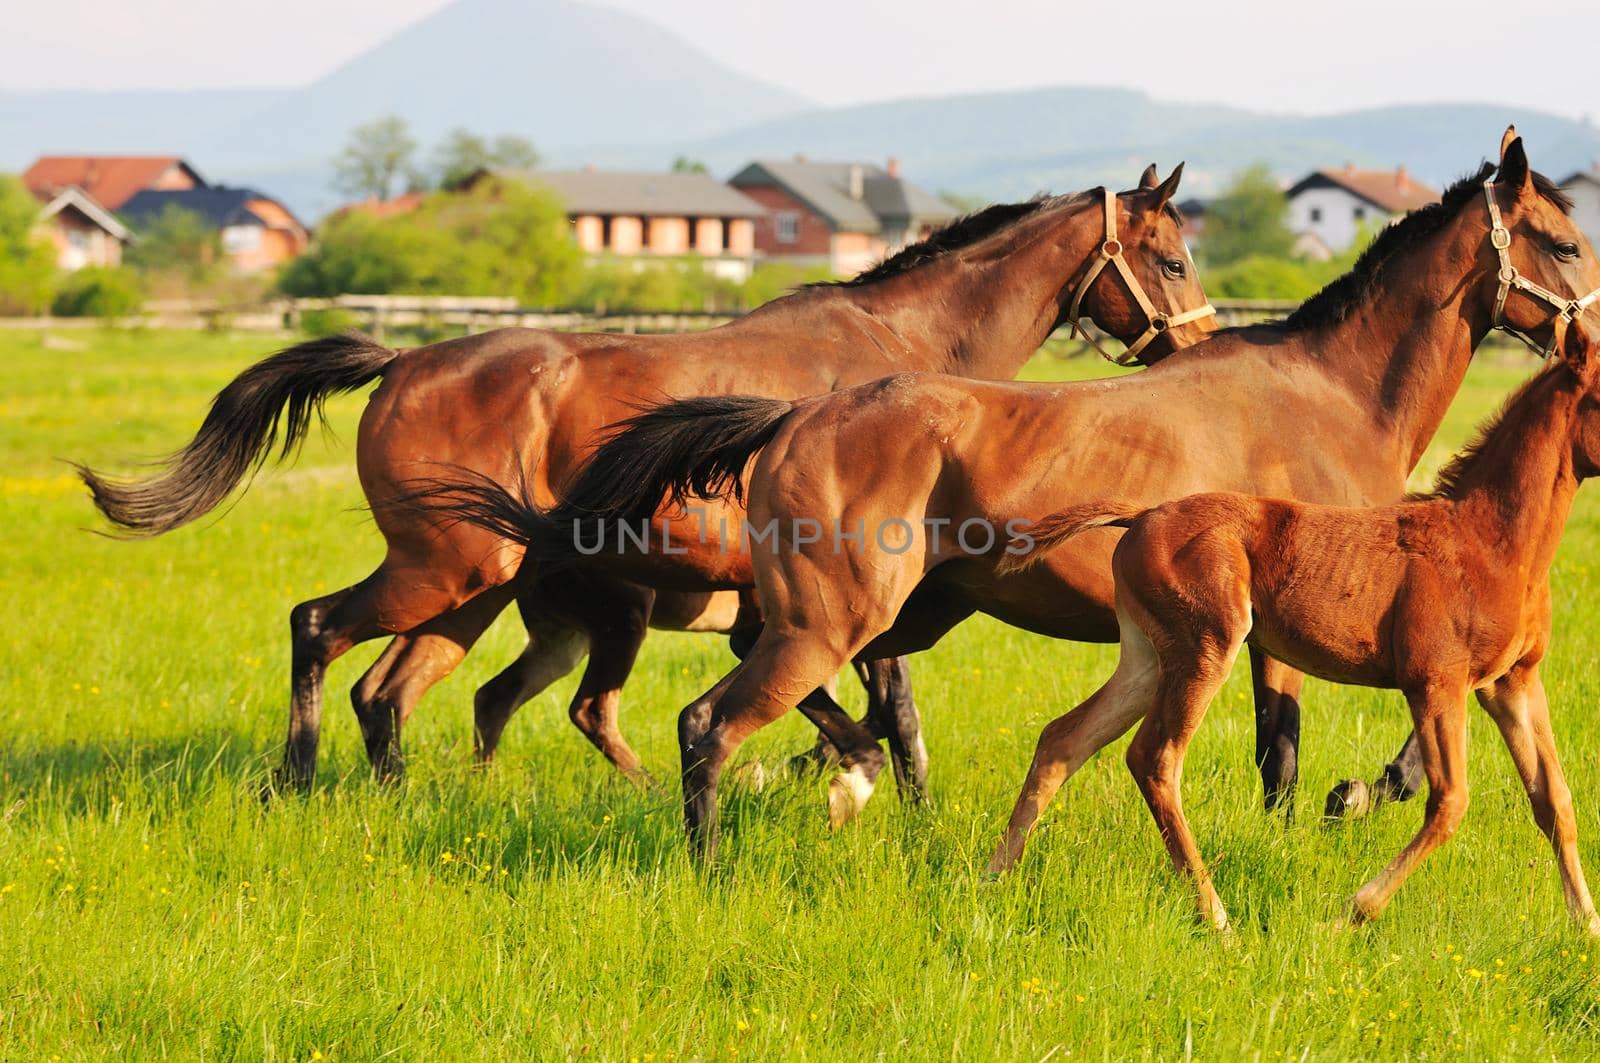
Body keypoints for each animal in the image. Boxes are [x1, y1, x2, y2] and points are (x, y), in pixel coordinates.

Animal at [72, 166, 1203, 794]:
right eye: (1173, 258)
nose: (1194, 348)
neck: (905, 356)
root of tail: (402, 361)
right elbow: (882, 715)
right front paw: (840, 785)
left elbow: (880, 713)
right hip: (445, 567)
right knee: (319, 629)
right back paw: (297, 781)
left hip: (478, 588)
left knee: (389, 690)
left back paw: (408, 797)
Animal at [416, 130, 1600, 858]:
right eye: (1563, 240)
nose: (1593, 339)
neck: (1329, 394)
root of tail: (796, 417)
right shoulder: (1312, 628)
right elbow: (1302, 747)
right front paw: (1341, 802)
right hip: (829, 620)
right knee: (710, 722)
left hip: (888, 614)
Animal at [985, 313, 1600, 928]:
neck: (1490, 543)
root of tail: (1142, 515)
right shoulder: (1435, 681)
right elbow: (1450, 801)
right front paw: (1354, 910)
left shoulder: (1513, 682)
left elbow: (1555, 799)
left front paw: (1586, 924)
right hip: (1207, 645)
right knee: (1155, 759)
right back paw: (1216, 916)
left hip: (1148, 658)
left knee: (1064, 739)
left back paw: (994, 877)